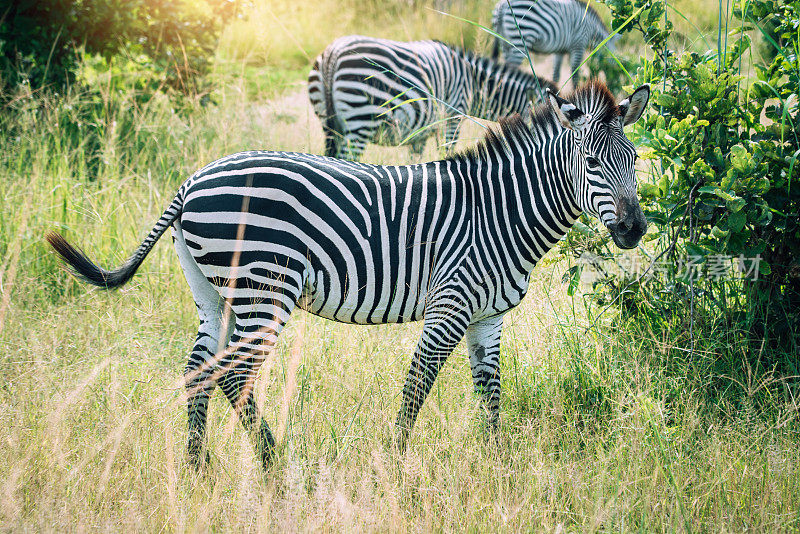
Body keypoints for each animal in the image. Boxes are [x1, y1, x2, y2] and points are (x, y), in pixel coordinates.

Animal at [47, 80, 648, 474]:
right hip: (264, 290)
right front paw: (395, 466)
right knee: (234, 374)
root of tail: (192, 180)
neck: (500, 211)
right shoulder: (449, 305)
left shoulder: (488, 318)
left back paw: (198, 469)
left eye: (635, 159)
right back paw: (275, 465)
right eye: (592, 163)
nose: (635, 229)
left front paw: (497, 467)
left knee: (199, 368)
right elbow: (417, 386)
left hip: (212, 292)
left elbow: (491, 394)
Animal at [306, 35, 556, 161]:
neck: (473, 82)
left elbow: (415, 161)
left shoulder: (420, 132)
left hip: (328, 122)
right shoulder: (453, 116)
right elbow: (448, 150)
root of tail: (333, 53)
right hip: (361, 118)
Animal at [490, 0, 620, 84]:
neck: (592, 29)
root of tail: (503, 6)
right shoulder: (578, 45)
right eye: (615, 60)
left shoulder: (560, 51)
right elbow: (575, 75)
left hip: (505, 42)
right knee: (511, 67)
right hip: (521, 38)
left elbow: (556, 75)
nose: (611, 80)